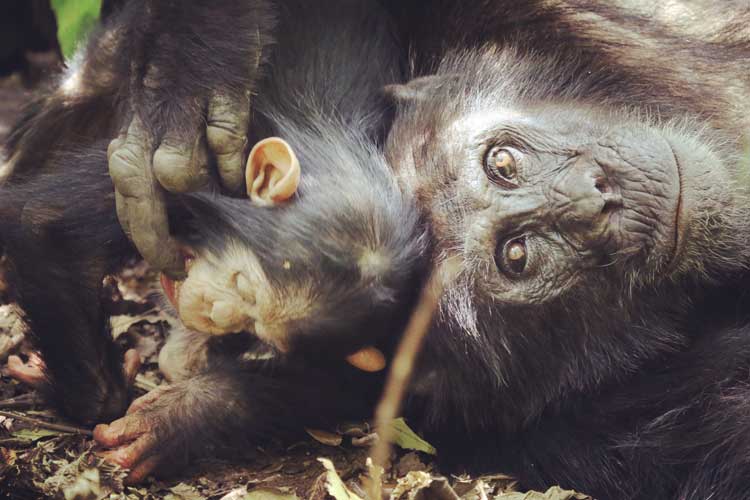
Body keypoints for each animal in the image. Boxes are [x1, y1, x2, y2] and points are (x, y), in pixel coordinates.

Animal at [0, 0, 425, 481]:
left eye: (253, 328)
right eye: (242, 284)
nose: (216, 314)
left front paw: (182, 416)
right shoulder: (185, 184)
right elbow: (47, 226)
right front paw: (100, 397)